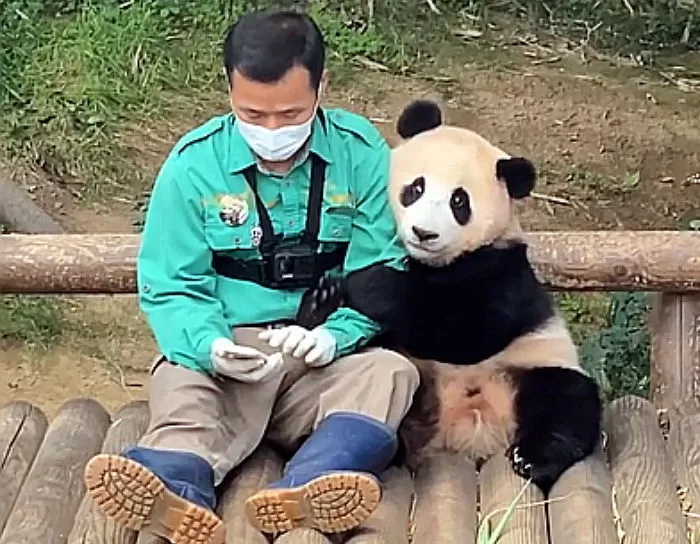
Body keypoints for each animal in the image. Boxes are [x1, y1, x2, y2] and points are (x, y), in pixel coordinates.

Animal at [298, 98, 604, 492]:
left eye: (460, 202)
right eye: (416, 187)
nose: (423, 232)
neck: (432, 264)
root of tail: (470, 432)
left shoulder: (504, 272)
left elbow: (460, 330)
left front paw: (364, 282)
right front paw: (325, 295)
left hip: (534, 364)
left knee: (567, 401)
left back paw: (532, 457)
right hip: (420, 375)